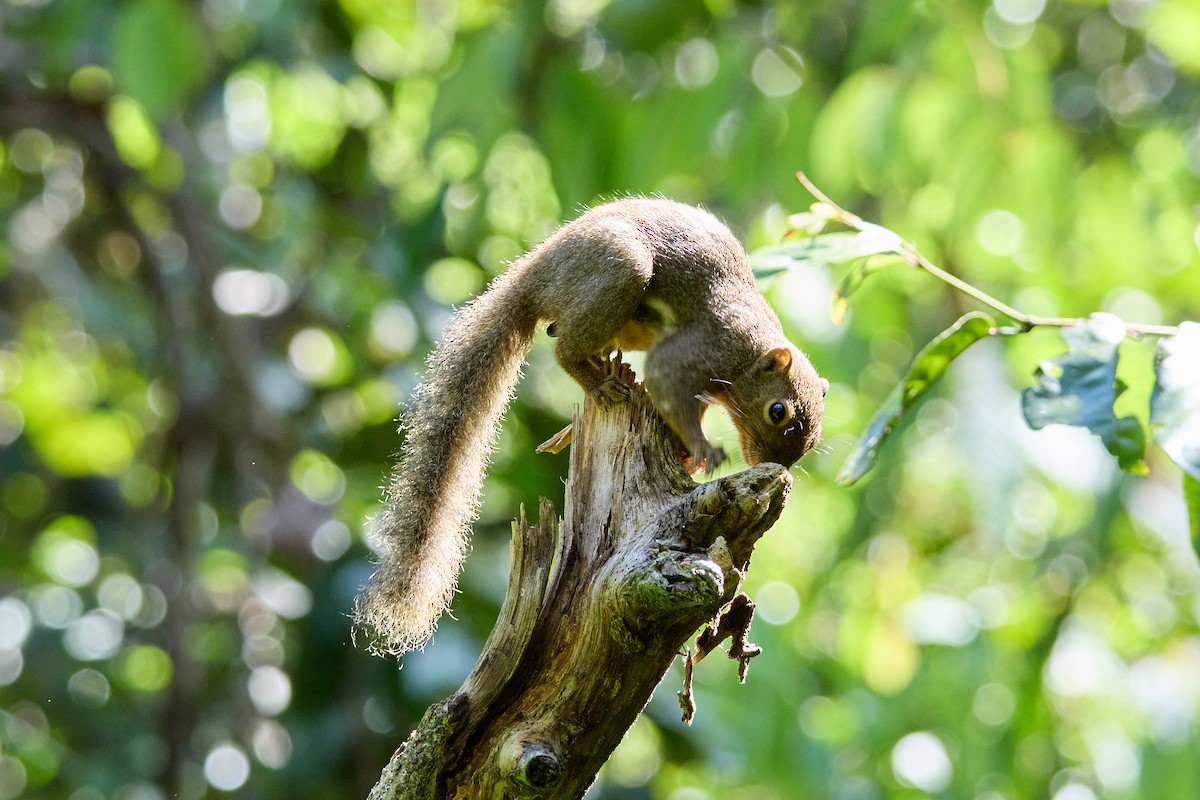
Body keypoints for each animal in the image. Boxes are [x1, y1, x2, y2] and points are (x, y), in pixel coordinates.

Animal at [356, 197, 826, 655]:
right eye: (778, 411)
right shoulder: (702, 348)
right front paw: (703, 450)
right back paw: (599, 383)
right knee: (563, 346)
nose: (779, 465)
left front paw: (688, 455)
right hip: (621, 271)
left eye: (814, 438)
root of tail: (535, 272)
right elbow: (665, 382)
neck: (749, 355)